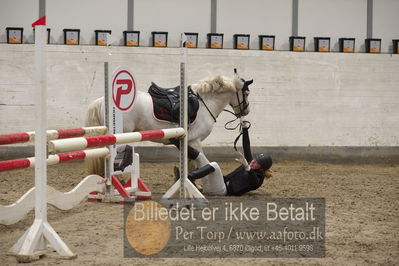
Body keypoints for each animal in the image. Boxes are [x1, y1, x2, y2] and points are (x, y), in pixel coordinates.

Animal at [85, 72, 253, 175]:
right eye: (246, 93)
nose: (246, 111)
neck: (204, 103)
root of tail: (102, 100)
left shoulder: (187, 142)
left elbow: (190, 163)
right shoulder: (195, 141)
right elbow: (199, 162)